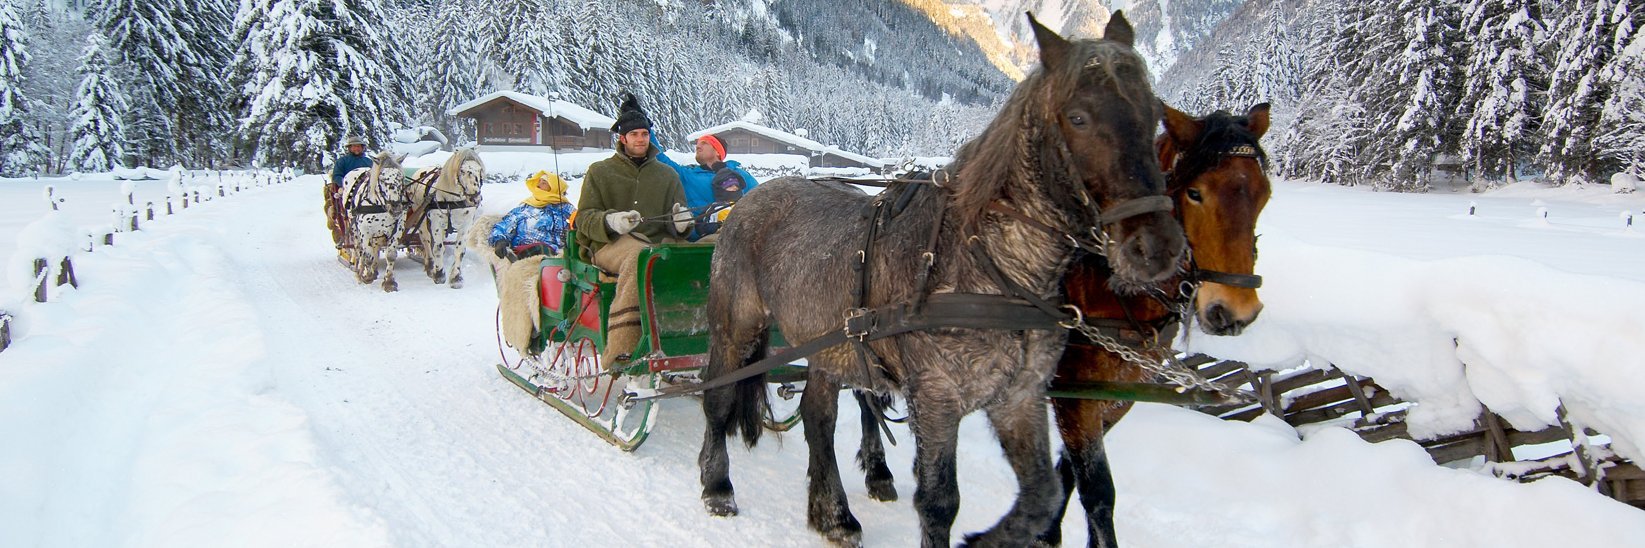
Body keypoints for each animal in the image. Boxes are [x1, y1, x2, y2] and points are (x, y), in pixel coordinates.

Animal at [694, 12, 1184, 546]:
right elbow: (938, 501)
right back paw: (718, 486)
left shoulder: (1019, 398)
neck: (993, 271)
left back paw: (834, 515)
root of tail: (747, 200)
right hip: (737, 328)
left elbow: (1042, 495)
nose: (1156, 247)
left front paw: (991, 538)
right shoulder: (936, 397)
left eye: (1154, 114)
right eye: (1078, 117)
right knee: (718, 396)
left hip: (827, 345)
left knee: (818, 417)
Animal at [1046, 101, 1276, 543]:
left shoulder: (1117, 394)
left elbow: (1067, 473)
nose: (1235, 311)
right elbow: (1098, 492)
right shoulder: (1072, 395)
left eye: (1264, 194)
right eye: (1195, 192)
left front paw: (1045, 532)